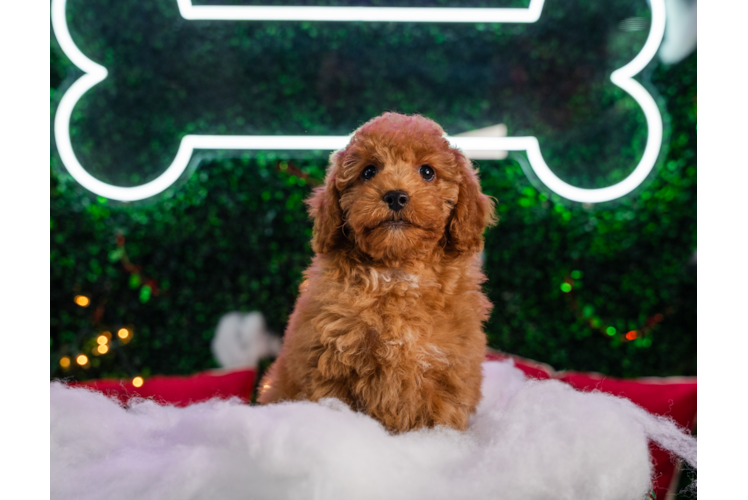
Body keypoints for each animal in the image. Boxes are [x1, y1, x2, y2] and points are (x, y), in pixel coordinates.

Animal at [258, 111, 496, 432]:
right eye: (369, 171)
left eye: (427, 172)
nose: (396, 196)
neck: (396, 271)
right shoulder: (329, 368)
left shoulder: (448, 374)